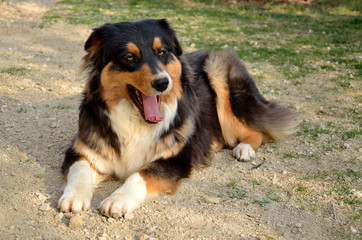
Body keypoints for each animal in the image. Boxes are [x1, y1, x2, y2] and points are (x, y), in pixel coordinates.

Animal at [57, 18, 300, 218]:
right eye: (129, 57)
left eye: (162, 52)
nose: (163, 82)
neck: (136, 122)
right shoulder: (82, 147)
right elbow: (79, 169)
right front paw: (73, 197)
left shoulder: (177, 157)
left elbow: (141, 174)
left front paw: (118, 199)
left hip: (219, 71)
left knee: (258, 129)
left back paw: (245, 149)